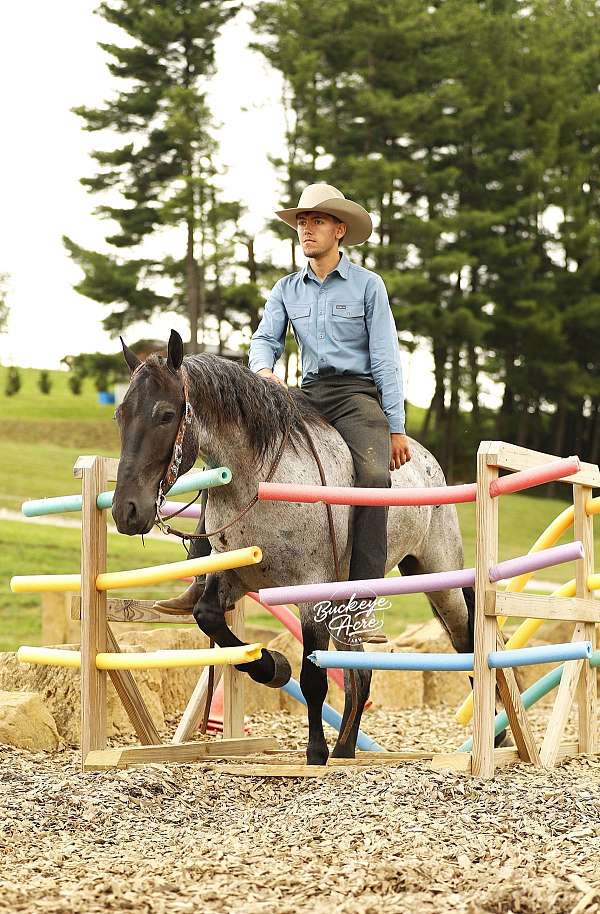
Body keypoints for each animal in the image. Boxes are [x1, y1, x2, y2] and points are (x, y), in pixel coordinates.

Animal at [111, 330, 476, 764]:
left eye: (166, 414)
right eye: (121, 414)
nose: (126, 511)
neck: (259, 481)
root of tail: (427, 460)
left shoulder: (311, 594)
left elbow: (314, 678)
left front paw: (315, 751)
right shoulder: (233, 577)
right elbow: (209, 617)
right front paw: (273, 667)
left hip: (439, 576)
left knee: (465, 640)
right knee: (360, 672)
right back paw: (345, 749)